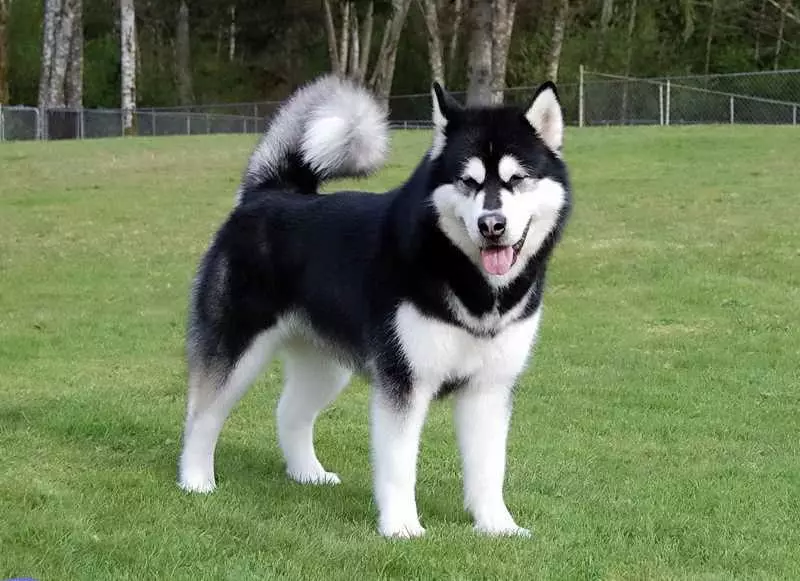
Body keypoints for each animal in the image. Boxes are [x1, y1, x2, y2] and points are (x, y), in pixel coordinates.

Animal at [178, 75, 572, 536]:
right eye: (468, 182)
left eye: (517, 179)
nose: (491, 225)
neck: (473, 283)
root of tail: (267, 194)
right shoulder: (404, 382)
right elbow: (400, 465)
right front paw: (401, 527)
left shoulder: (489, 388)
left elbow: (490, 468)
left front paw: (497, 526)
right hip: (236, 351)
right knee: (202, 414)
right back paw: (195, 480)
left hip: (327, 366)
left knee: (289, 412)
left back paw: (307, 473)